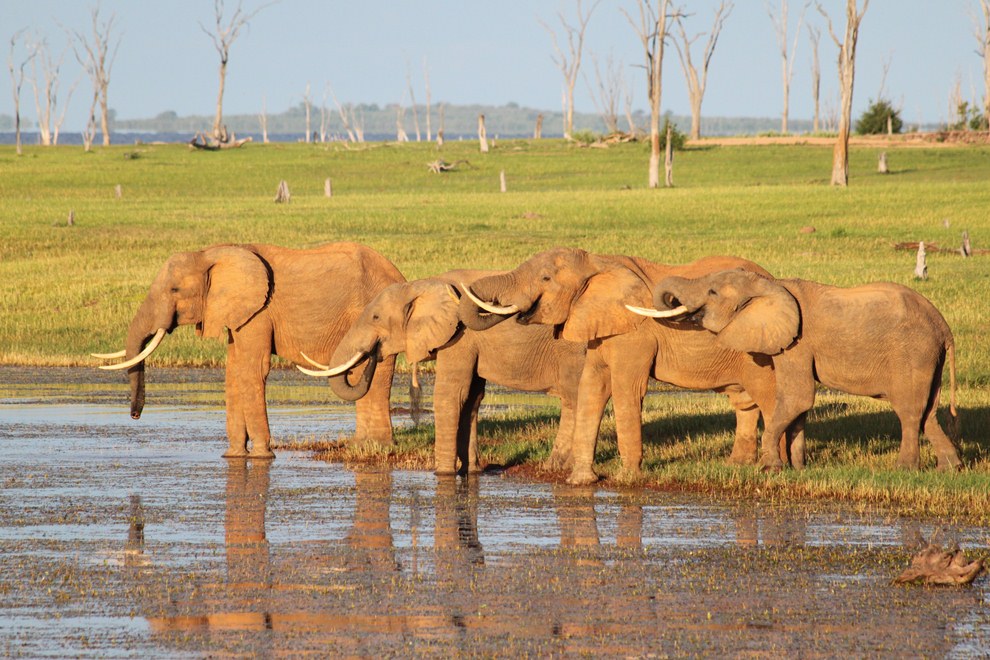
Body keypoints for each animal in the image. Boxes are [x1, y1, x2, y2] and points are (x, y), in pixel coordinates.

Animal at [90, 242, 406, 458]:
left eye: (174, 291)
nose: (134, 416)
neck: (211, 254)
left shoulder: (259, 312)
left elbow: (254, 369)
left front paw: (262, 456)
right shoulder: (237, 315)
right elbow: (234, 371)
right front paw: (233, 456)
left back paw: (376, 446)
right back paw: (364, 446)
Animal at [298, 270, 584, 476]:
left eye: (376, 318)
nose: (372, 354)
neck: (422, 285)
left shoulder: (459, 336)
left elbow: (450, 396)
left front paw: (443, 474)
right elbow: (471, 399)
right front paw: (471, 471)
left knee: (573, 398)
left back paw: (558, 467)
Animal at [462, 248, 788, 484]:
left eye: (545, 279)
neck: (598, 262)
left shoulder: (635, 333)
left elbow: (624, 388)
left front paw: (626, 480)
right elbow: (591, 386)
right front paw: (580, 482)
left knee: (768, 396)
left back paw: (778, 467)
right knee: (745, 399)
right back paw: (738, 464)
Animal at [648, 270, 964, 472]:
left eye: (712, 292)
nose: (675, 303)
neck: (771, 285)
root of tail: (944, 327)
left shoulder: (797, 343)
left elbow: (797, 398)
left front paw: (769, 468)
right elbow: (799, 406)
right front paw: (799, 468)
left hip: (913, 353)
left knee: (909, 410)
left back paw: (904, 470)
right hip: (930, 357)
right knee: (928, 412)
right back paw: (951, 469)